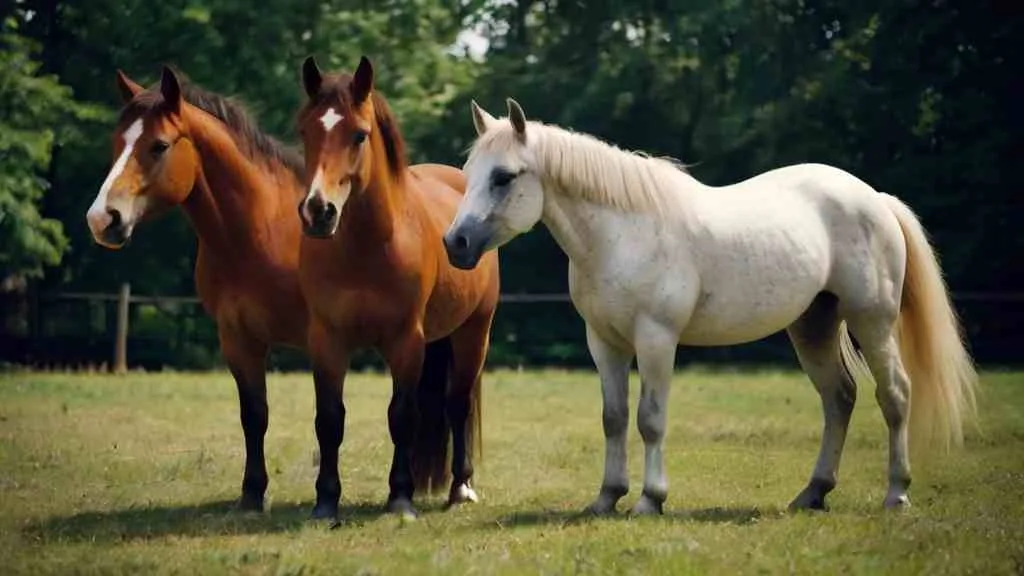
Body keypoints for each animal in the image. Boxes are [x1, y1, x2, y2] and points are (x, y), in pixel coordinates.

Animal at [84, 65, 456, 520]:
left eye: (159, 146)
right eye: (117, 142)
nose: (102, 218)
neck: (259, 232)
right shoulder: (239, 339)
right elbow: (254, 415)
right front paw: (251, 496)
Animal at [293, 56, 500, 519]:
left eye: (359, 134)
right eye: (305, 132)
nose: (318, 211)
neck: (366, 249)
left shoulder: (406, 340)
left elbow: (402, 415)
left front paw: (401, 497)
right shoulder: (327, 340)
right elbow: (328, 419)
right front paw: (325, 501)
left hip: (473, 332)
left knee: (457, 404)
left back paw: (461, 487)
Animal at [443, 98, 978, 514]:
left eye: (504, 177)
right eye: (468, 175)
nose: (456, 244)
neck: (622, 233)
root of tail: (876, 199)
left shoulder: (656, 339)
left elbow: (650, 418)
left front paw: (649, 500)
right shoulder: (604, 342)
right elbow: (613, 417)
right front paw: (606, 497)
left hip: (872, 321)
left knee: (895, 396)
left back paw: (896, 494)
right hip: (813, 325)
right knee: (839, 397)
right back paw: (813, 493)